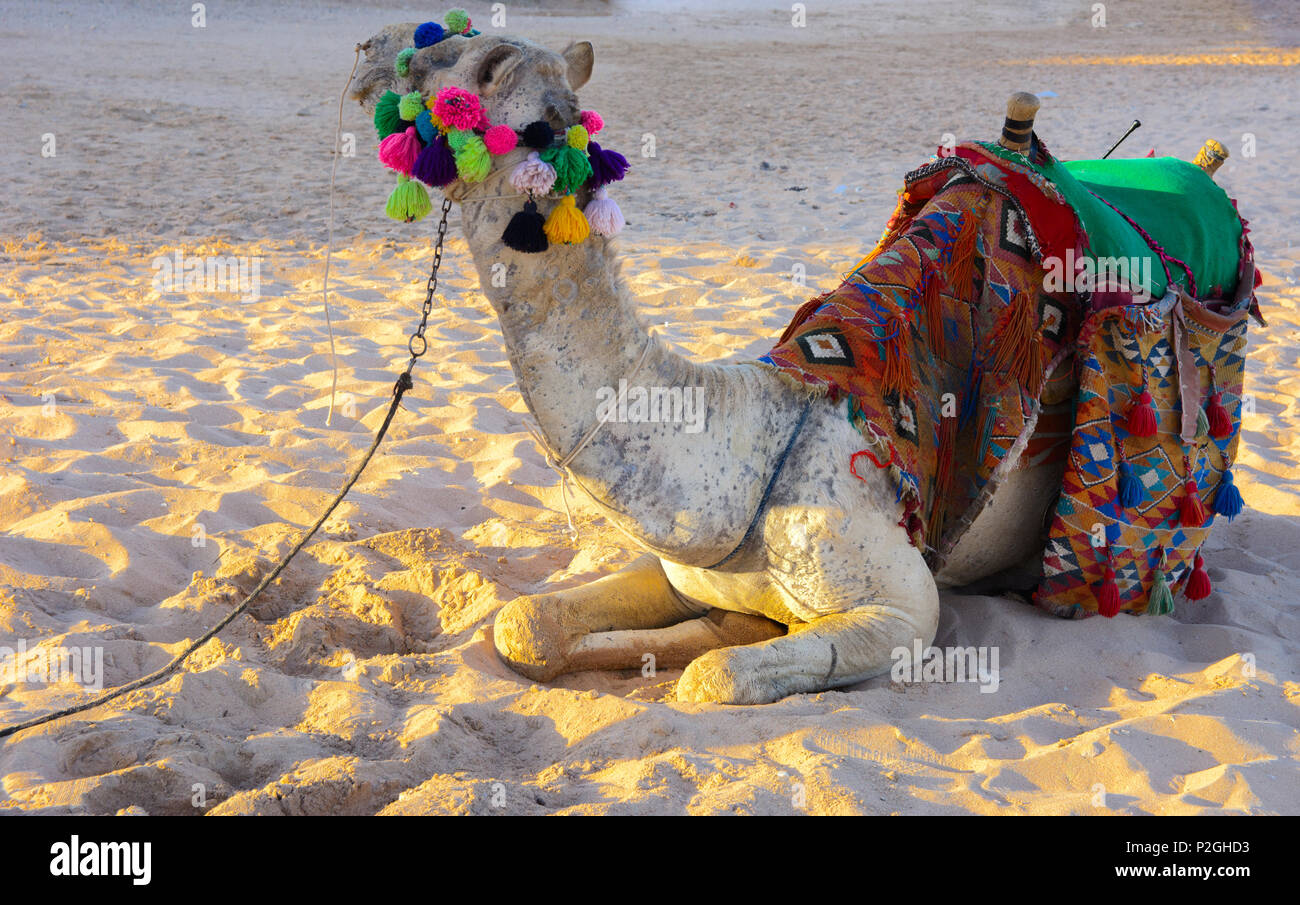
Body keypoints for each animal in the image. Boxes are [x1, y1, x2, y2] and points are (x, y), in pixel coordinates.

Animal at [348, 25, 1202, 704]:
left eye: (480, 59)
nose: (367, 51)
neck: (742, 449)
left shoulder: (906, 610)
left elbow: (712, 675)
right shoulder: (678, 564)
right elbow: (525, 623)